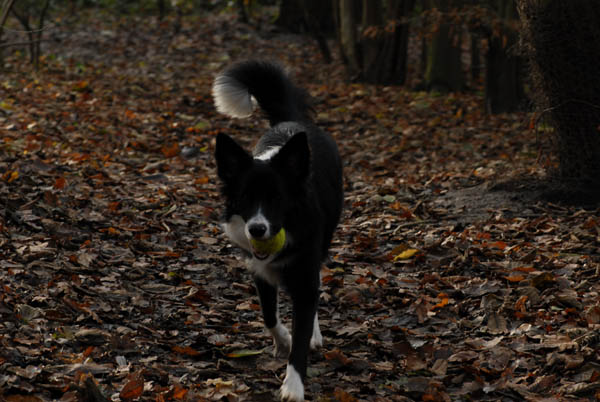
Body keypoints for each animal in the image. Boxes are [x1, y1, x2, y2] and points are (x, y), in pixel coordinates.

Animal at [212, 60, 342, 402]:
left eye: (277, 199)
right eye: (245, 198)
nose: (258, 229)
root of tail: (293, 122)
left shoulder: (305, 266)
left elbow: (303, 327)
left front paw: (293, 386)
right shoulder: (259, 269)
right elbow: (269, 315)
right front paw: (282, 339)